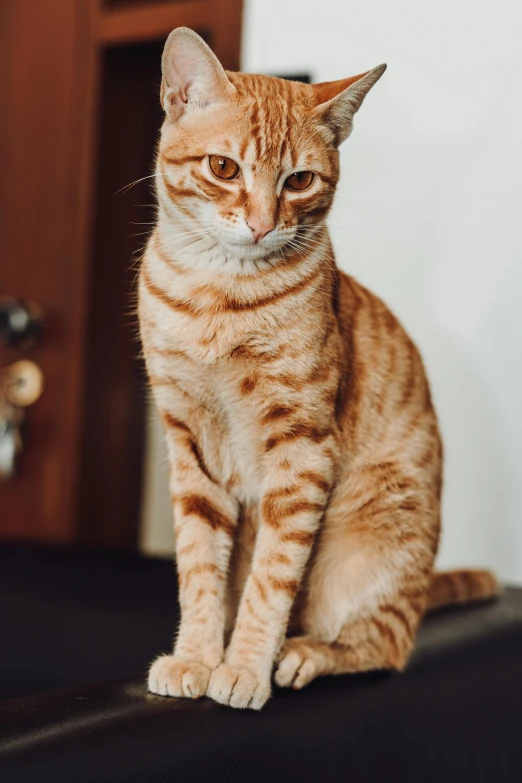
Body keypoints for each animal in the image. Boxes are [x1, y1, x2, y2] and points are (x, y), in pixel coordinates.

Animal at [138, 29, 496, 712]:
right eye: (224, 168)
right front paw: (196, 655)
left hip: (371, 542)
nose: (261, 224)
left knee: (383, 643)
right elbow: (199, 568)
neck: (216, 298)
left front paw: (243, 667)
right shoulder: (188, 441)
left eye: (300, 180)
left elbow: (271, 576)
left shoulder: (300, 448)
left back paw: (306, 654)